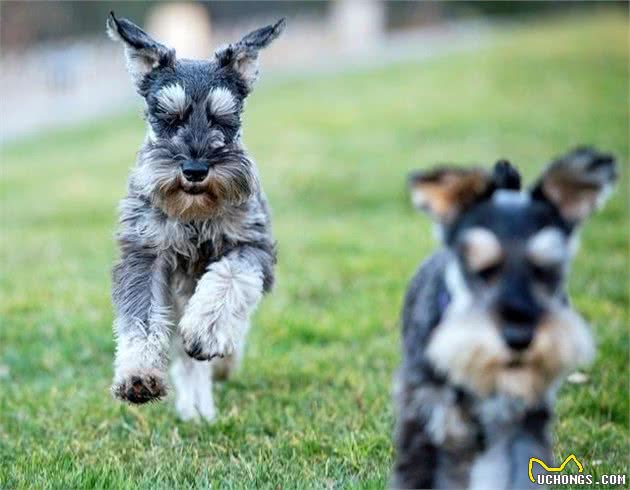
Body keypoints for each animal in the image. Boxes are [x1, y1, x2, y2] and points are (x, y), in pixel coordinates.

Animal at [107, 13, 286, 422]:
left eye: (224, 118)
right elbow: (140, 317)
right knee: (184, 358)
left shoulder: (252, 246)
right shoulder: (144, 256)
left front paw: (207, 331)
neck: (194, 213)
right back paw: (195, 407)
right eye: (168, 117)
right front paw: (138, 375)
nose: (194, 170)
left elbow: (229, 280)